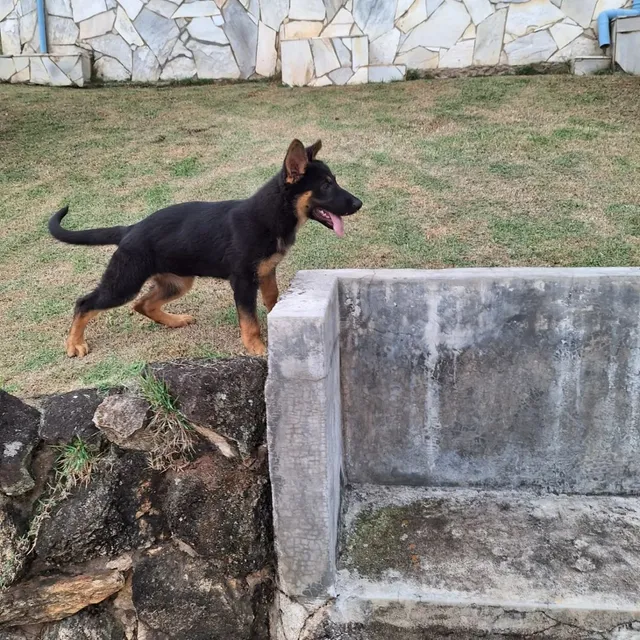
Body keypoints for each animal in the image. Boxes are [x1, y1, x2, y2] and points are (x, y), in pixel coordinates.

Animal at [47, 139, 362, 358]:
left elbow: (273, 301)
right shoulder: (243, 281)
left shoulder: (266, 273)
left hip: (178, 282)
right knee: (85, 303)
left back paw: (174, 321)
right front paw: (256, 347)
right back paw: (75, 343)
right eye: (326, 185)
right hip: (124, 283)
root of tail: (130, 229)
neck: (271, 214)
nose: (359, 204)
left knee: (143, 304)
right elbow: (249, 320)